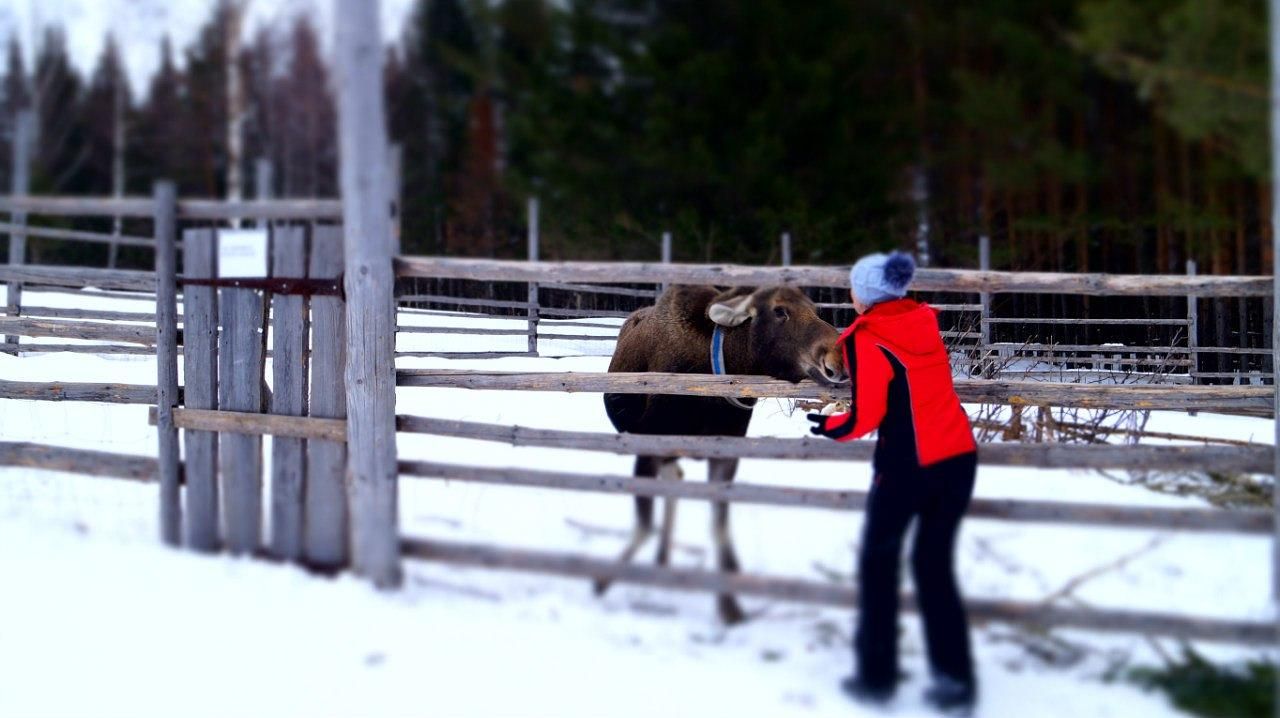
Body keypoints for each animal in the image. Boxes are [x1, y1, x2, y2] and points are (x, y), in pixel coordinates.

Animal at [601, 284, 849, 622]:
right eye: (779, 310)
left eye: (816, 309)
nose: (839, 359)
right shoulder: (649, 444)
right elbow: (643, 525)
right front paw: (604, 580)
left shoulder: (726, 451)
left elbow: (720, 527)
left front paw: (730, 605)